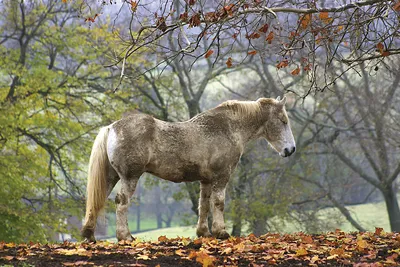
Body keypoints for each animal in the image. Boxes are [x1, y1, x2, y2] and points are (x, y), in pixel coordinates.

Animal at [81, 96, 296, 243]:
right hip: (129, 177)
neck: (229, 128)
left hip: (111, 177)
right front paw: (221, 232)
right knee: (121, 202)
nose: (291, 149)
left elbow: (204, 205)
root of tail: (111, 128)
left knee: (97, 200)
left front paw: (204, 233)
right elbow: (218, 203)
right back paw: (125, 236)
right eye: (283, 121)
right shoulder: (222, 176)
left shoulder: (206, 180)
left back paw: (89, 235)